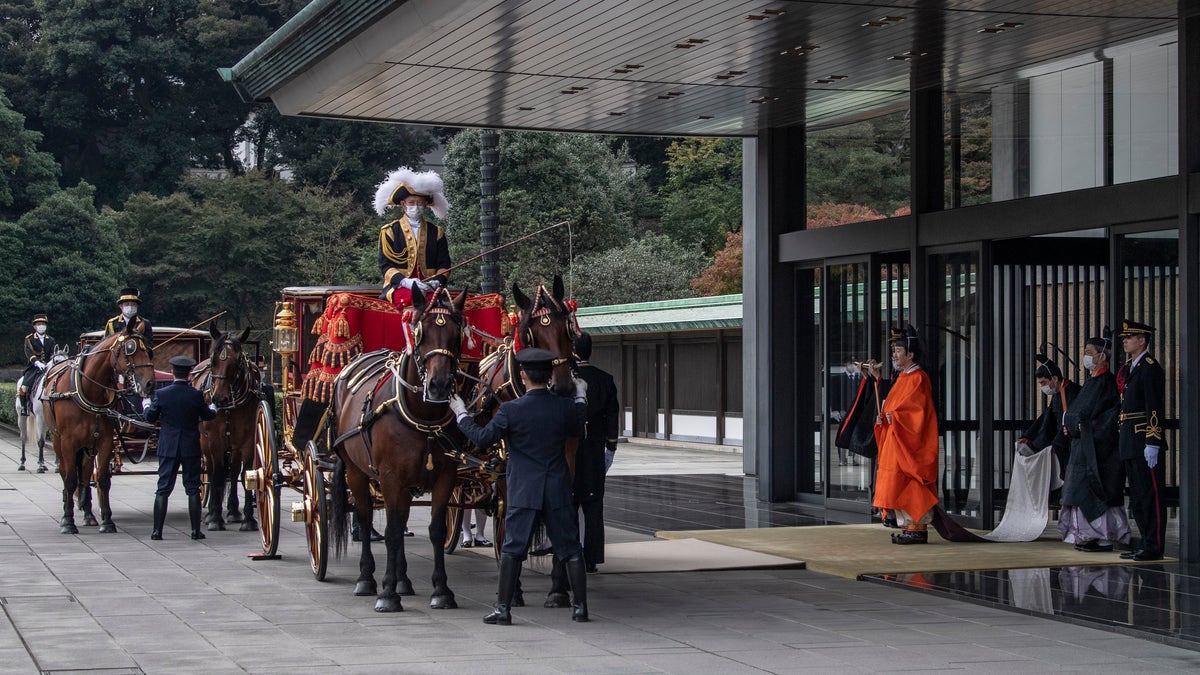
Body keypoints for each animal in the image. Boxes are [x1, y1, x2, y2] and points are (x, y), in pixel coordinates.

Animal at [42, 324, 156, 533]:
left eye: (149, 351)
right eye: (130, 349)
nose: (150, 384)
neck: (87, 390)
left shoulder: (104, 441)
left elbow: (102, 479)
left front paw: (107, 521)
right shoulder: (68, 442)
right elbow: (70, 479)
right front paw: (68, 522)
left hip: (88, 446)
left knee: (86, 474)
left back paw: (89, 514)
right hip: (57, 439)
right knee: (64, 472)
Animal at [192, 326, 260, 530]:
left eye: (237, 361)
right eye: (214, 359)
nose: (219, 398)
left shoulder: (248, 441)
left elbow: (246, 475)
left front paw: (248, 519)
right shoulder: (214, 439)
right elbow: (218, 475)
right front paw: (215, 518)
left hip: (234, 444)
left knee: (234, 470)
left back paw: (233, 511)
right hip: (204, 441)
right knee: (212, 470)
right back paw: (211, 513)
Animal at [331, 285, 470, 612]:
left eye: (456, 334)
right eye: (420, 332)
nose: (439, 386)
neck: (423, 417)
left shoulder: (445, 476)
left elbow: (435, 530)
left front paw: (441, 590)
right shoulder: (390, 476)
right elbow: (392, 533)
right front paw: (386, 592)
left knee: (402, 517)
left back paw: (403, 579)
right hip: (356, 471)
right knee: (366, 516)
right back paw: (367, 579)